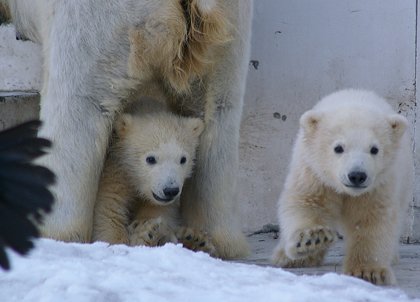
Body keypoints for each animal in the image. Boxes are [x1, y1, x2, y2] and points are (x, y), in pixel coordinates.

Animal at [0, 1, 253, 258]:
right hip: (227, 40)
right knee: (218, 117)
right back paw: (211, 240)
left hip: (98, 26)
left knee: (75, 108)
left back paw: (52, 231)